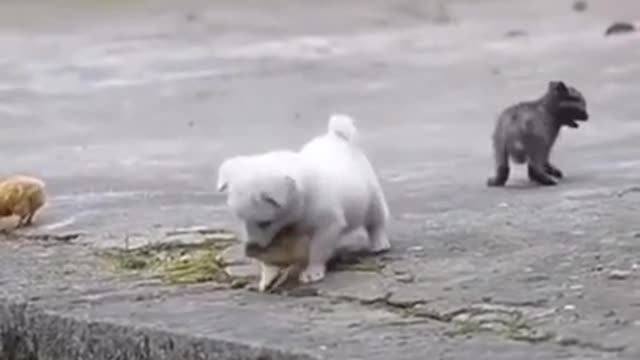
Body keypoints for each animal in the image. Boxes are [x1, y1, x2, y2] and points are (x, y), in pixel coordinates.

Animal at [218, 113, 390, 286]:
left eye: (265, 223)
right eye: (243, 221)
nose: (251, 246)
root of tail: (336, 137)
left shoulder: (328, 225)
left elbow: (317, 250)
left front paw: (312, 271)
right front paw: (269, 275)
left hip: (372, 198)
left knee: (376, 221)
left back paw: (379, 243)